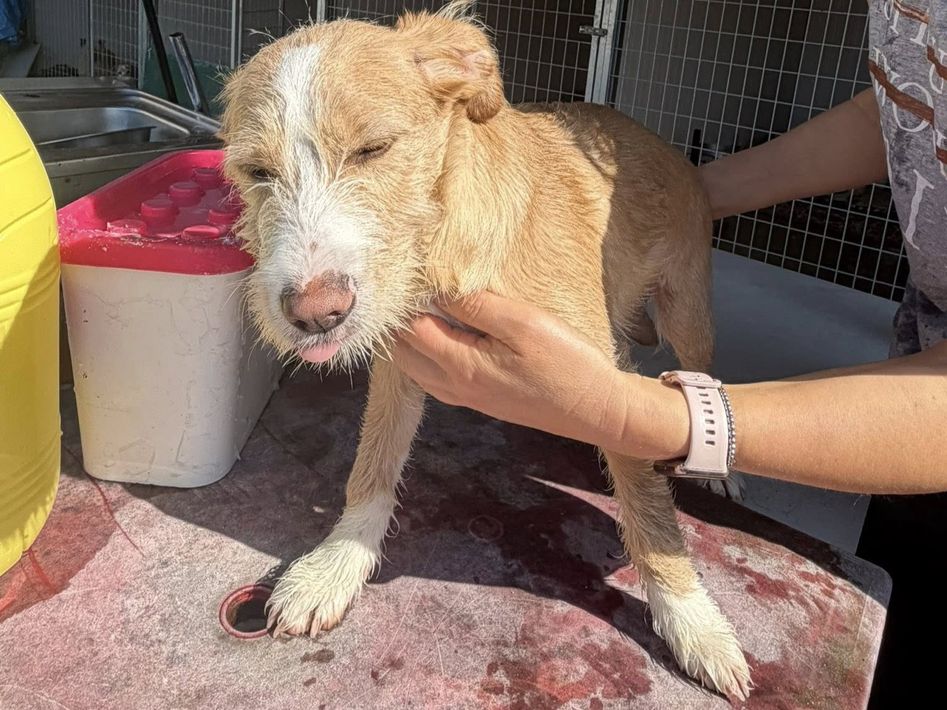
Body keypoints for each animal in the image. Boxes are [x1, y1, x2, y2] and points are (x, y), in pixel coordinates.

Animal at [220, 1, 751, 699]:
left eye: (373, 149)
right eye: (256, 172)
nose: (314, 314)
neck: (436, 247)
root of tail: (669, 147)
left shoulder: (604, 373)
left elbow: (650, 514)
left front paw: (694, 621)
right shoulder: (400, 361)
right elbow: (372, 467)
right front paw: (335, 565)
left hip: (688, 310)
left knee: (700, 371)